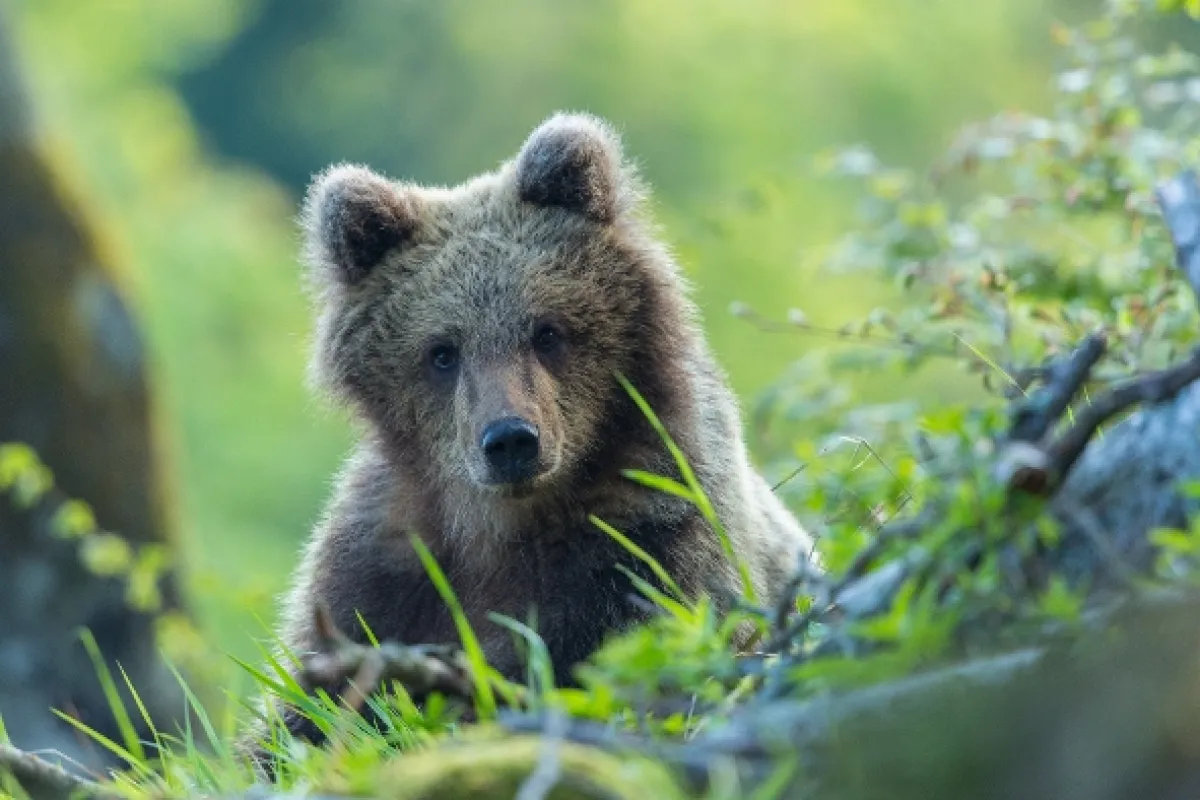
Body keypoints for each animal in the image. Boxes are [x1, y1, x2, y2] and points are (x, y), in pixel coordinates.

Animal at [262, 112, 814, 746]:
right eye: (442, 351)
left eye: (546, 331)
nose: (510, 440)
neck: (503, 523)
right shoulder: (383, 564)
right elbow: (303, 710)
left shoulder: (650, 541)